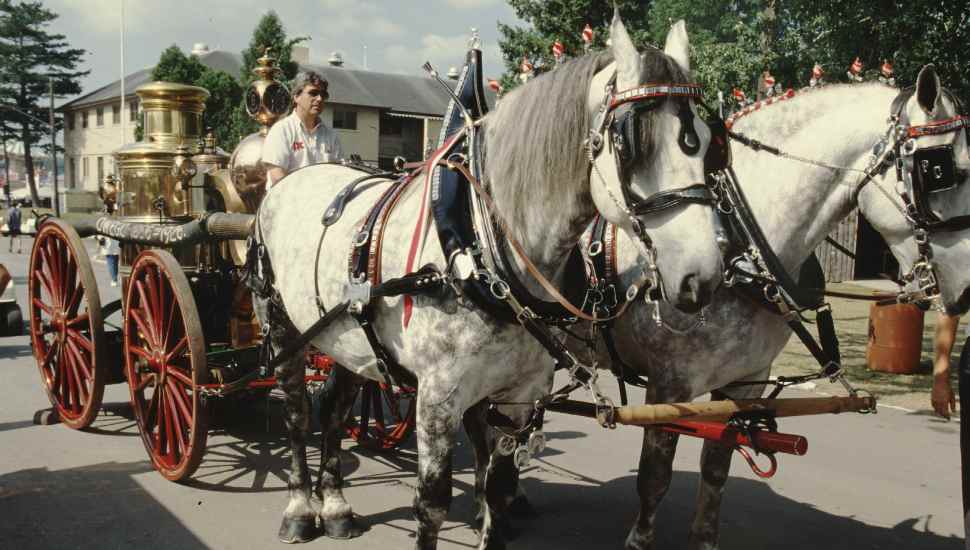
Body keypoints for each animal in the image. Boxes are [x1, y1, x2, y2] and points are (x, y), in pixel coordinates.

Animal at [252, 15, 723, 550]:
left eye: (707, 142)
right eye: (632, 144)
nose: (702, 276)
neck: (481, 251)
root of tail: (292, 180)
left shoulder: (519, 394)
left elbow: (497, 486)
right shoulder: (438, 398)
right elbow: (431, 504)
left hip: (346, 336)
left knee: (333, 408)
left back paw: (335, 507)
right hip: (285, 330)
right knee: (296, 415)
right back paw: (299, 509)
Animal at [482, 65, 970, 550]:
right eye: (941, 170)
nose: (965, 292)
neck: (738, 246)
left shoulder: (745, 383)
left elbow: (715, 471)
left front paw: (703, 538)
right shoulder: (670, 387)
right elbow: (654, 478)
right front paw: (639, 539)